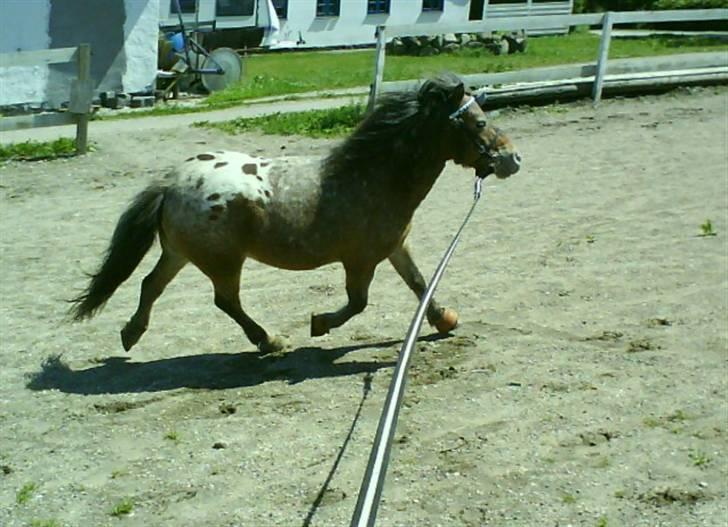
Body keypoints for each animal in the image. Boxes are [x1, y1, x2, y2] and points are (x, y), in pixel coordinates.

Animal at [69, 73, 516, 354]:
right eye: (479, 123)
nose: (513, 159)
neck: (374, 177)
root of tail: (172, 183)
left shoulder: (394, 248)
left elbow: (420, 284)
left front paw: (445, 320)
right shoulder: (360, 261)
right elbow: (358, 303)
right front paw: (319, 324)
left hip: (179, 254)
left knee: (151, 286)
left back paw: (131, 334)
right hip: (222, 262)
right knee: (225, 301)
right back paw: (269, 341)